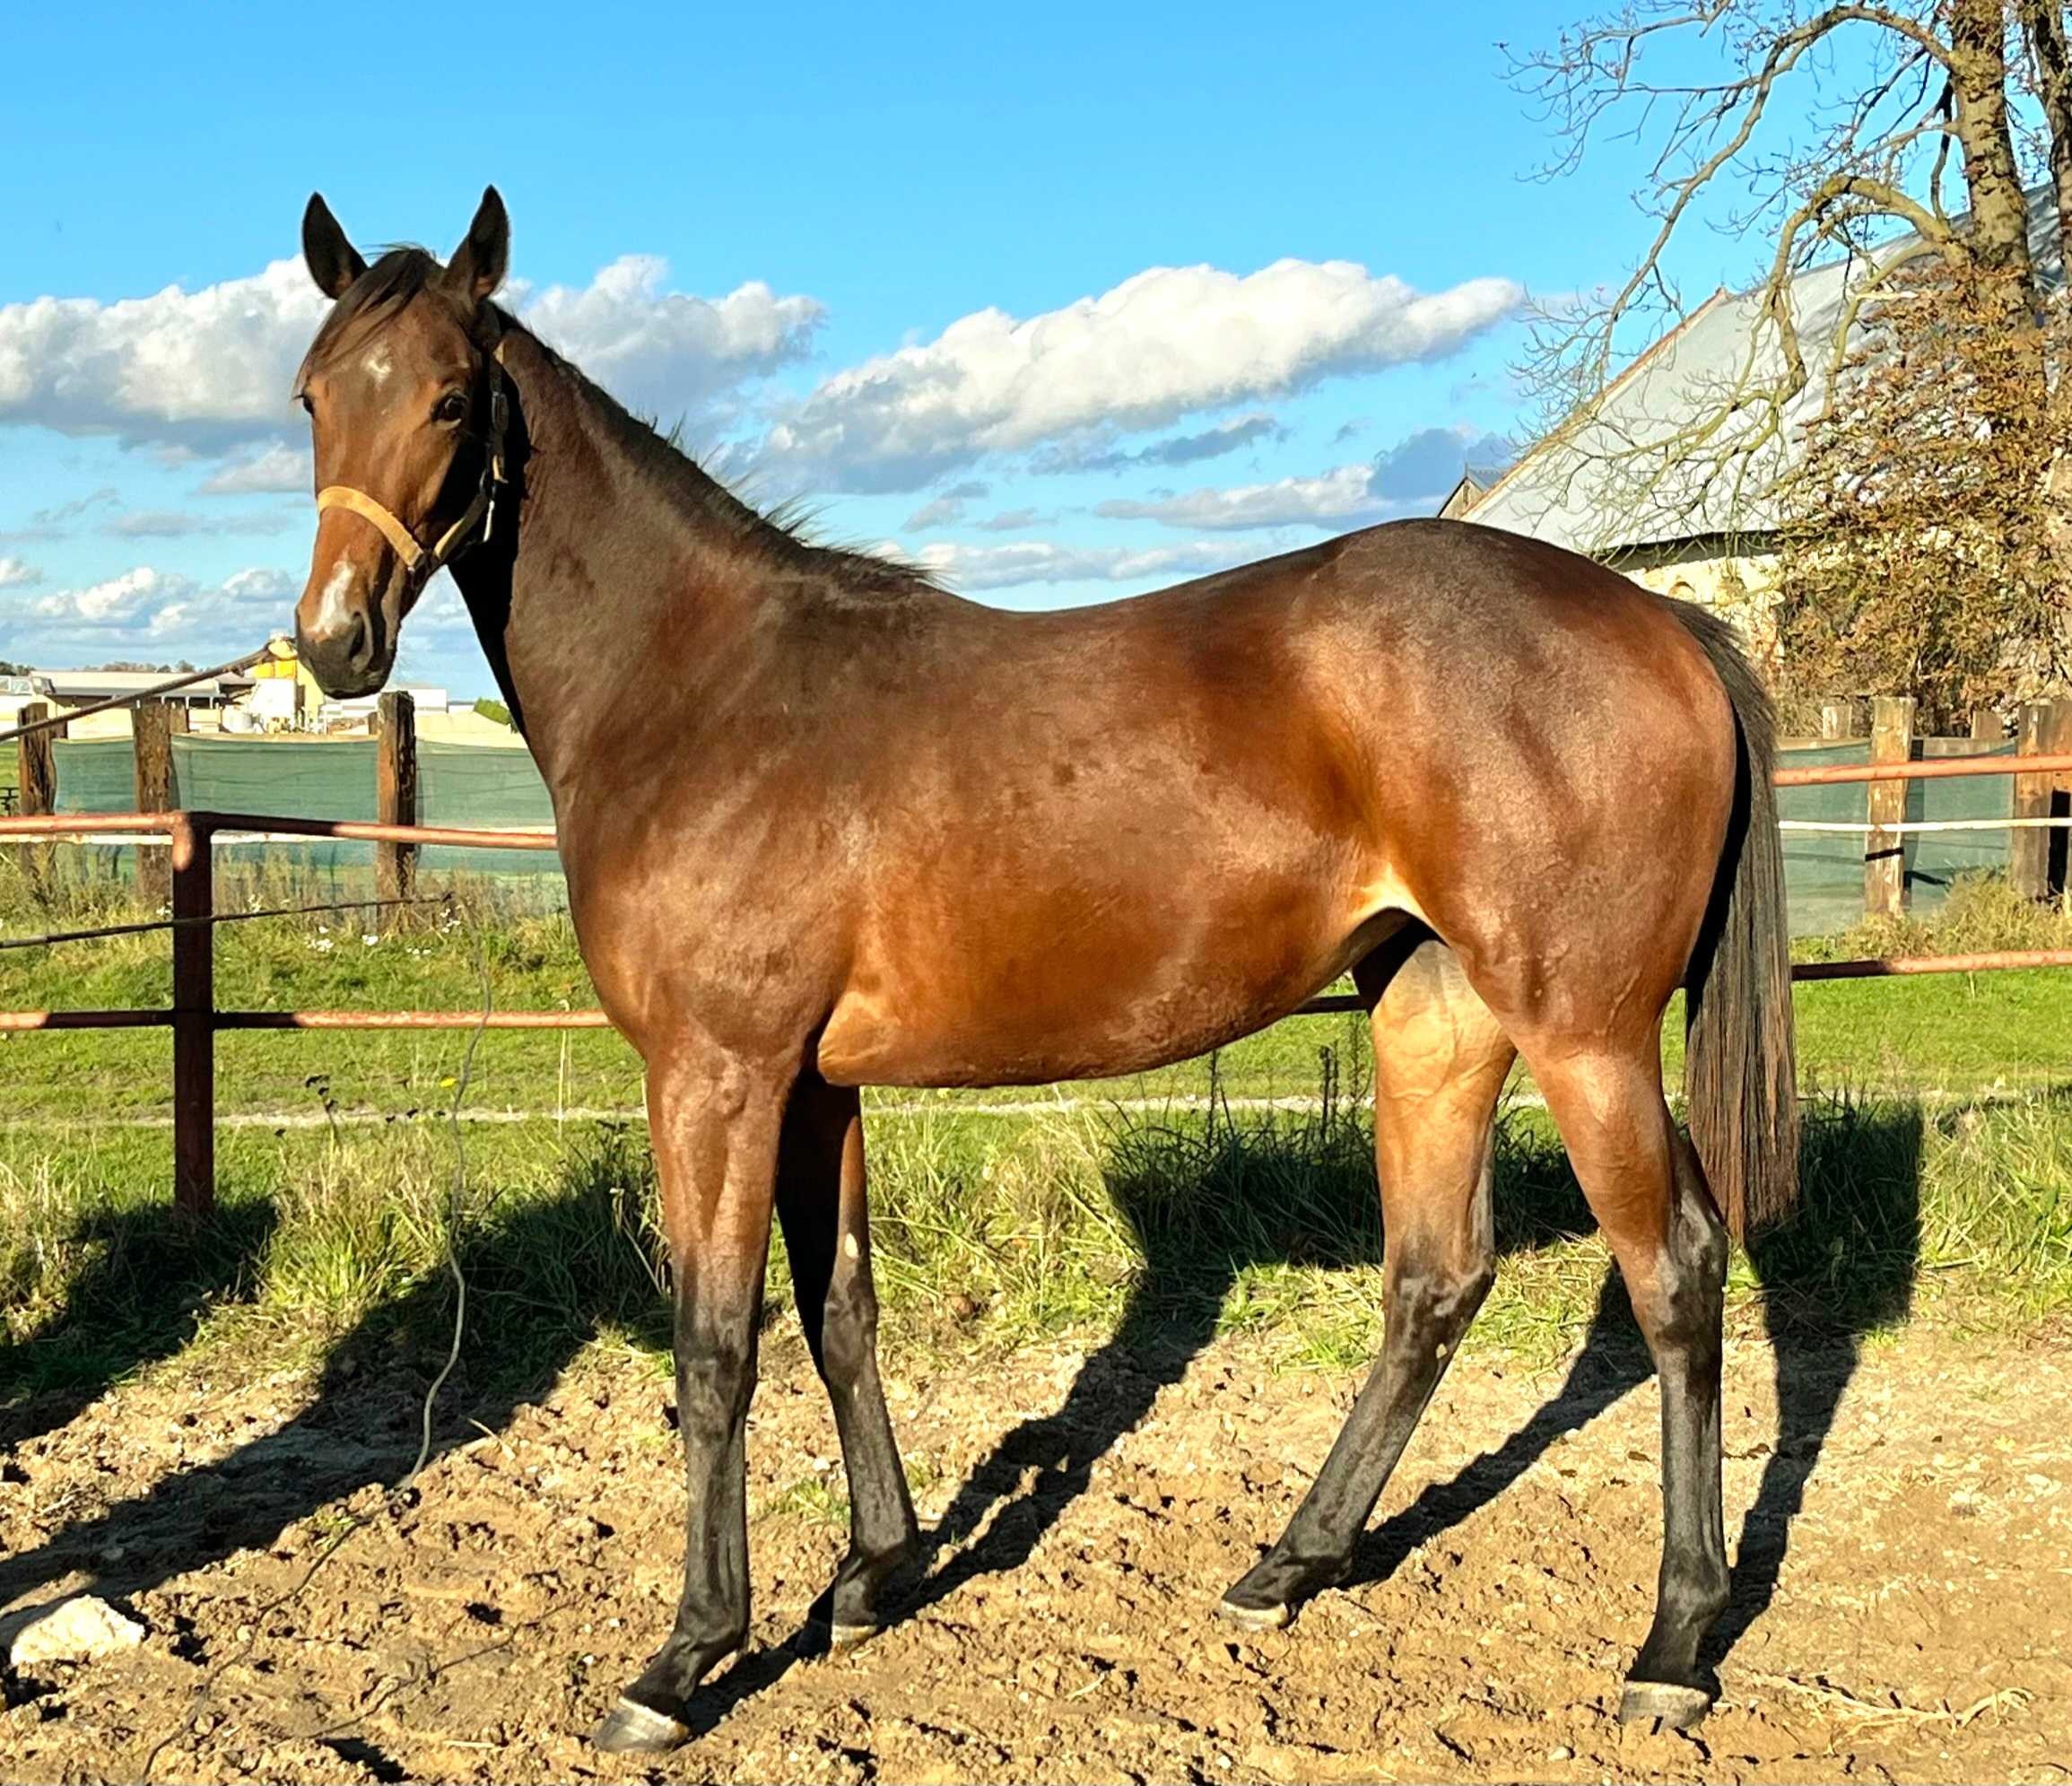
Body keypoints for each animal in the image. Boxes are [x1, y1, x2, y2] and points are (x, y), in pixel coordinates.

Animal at [287, 186, 1798, 1753]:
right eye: (313, 395)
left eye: (451, 395)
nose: (334, 640)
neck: (702, 687)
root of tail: (1658, 620)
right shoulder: (814, 1084)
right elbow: (840, 1312)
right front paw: (874, 1572)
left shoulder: (717, 1076)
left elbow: (713, 1348)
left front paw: (685, 1655)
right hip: (1435, 1017)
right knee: (1434, 1278)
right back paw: (1289, 1562)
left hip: (1585, 1032)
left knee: (1674, 1274)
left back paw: (1672, 1639)